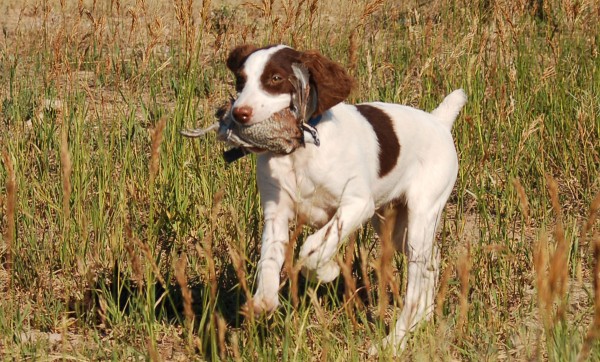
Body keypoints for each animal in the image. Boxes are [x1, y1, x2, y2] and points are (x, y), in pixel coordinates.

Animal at [225, 44, 464, 354]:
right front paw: (263, 301)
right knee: (430, 260)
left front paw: (326, 271)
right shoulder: (275, 215)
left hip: (422, 215)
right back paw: (421, 319)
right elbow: (269, 260)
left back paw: (393, 342)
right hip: (395, 225)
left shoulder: (357, 205)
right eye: (240, 80)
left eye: (275, 78)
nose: (239, 113)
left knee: (415, 282)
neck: (300, 152)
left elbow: (313, 248)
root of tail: (439, 121)